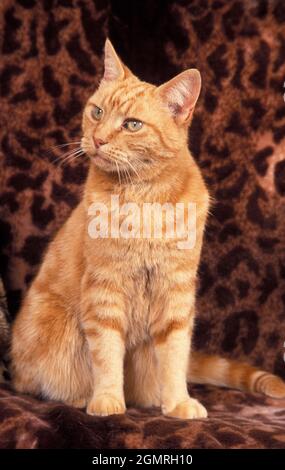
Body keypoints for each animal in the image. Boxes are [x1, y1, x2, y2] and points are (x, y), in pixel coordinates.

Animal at [10, 38, 284, 416]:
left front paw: (178, 402)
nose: (97, 139)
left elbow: (175, 356)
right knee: (33, 382)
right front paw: (108, 399)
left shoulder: (176, 294)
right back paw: (79, 397)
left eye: (132, 125)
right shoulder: (104, 289)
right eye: (97, 113)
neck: (144, 198)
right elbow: (106, 354)